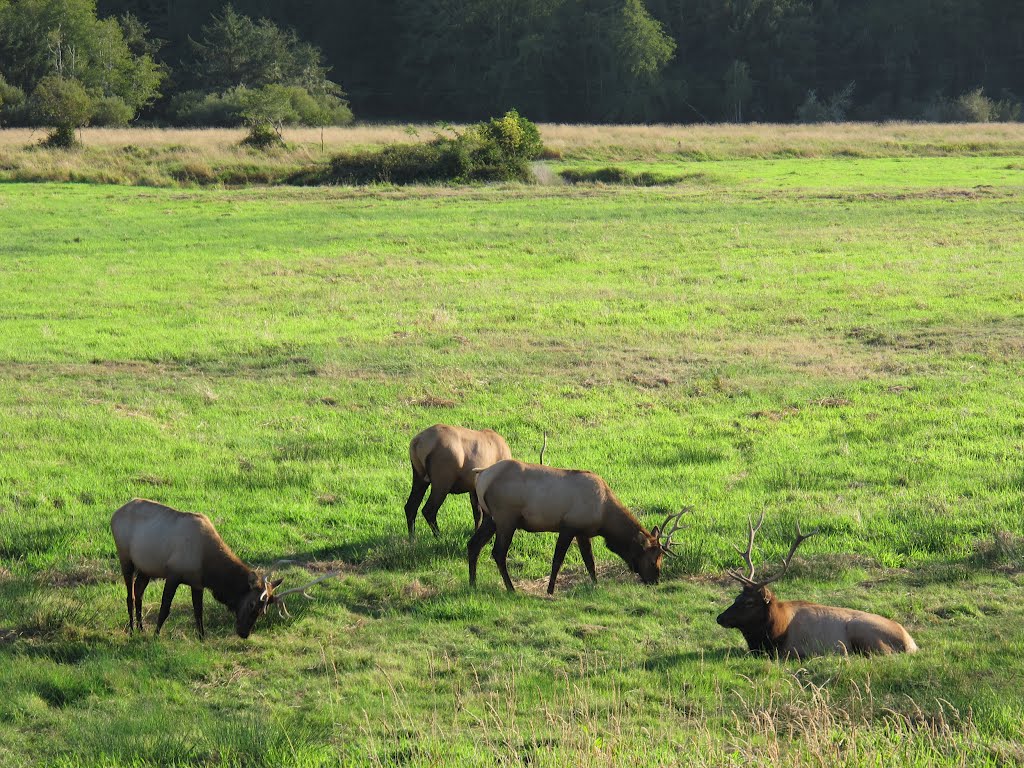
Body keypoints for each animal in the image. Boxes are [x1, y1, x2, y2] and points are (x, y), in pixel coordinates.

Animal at [111, 499, 335, 638]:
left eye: (265, 611)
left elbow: (198, 612)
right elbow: (165, 608)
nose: (244, 633)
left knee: (139, 592)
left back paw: (141, 628)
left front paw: (202, 637)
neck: (209, 567)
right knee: (130, 595)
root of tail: (114, 513)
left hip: (146, 569)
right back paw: (132, 630)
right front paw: (156, 636)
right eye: (252, 604)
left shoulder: (197, 582)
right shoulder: (173, 574)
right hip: (126, 558)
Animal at [468, 460, 684, 598]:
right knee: (498, 553)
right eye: (652, 559)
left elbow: (590, 561)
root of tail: (482, 475)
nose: (655, 580)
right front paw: (550, 590)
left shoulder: (582, 532)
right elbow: (557, 561)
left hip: (490, 518)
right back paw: (511, 589)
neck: (604, 515)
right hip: (506, 518)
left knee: (473, 544)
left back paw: (473, 583)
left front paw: (596, 585)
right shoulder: (568, 526)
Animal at [712, 514, 921, 659]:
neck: (774, 633)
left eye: (749, 602)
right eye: (736, 597)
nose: (720, 617)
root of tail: (911, 644)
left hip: (861, 629)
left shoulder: (795, 649)